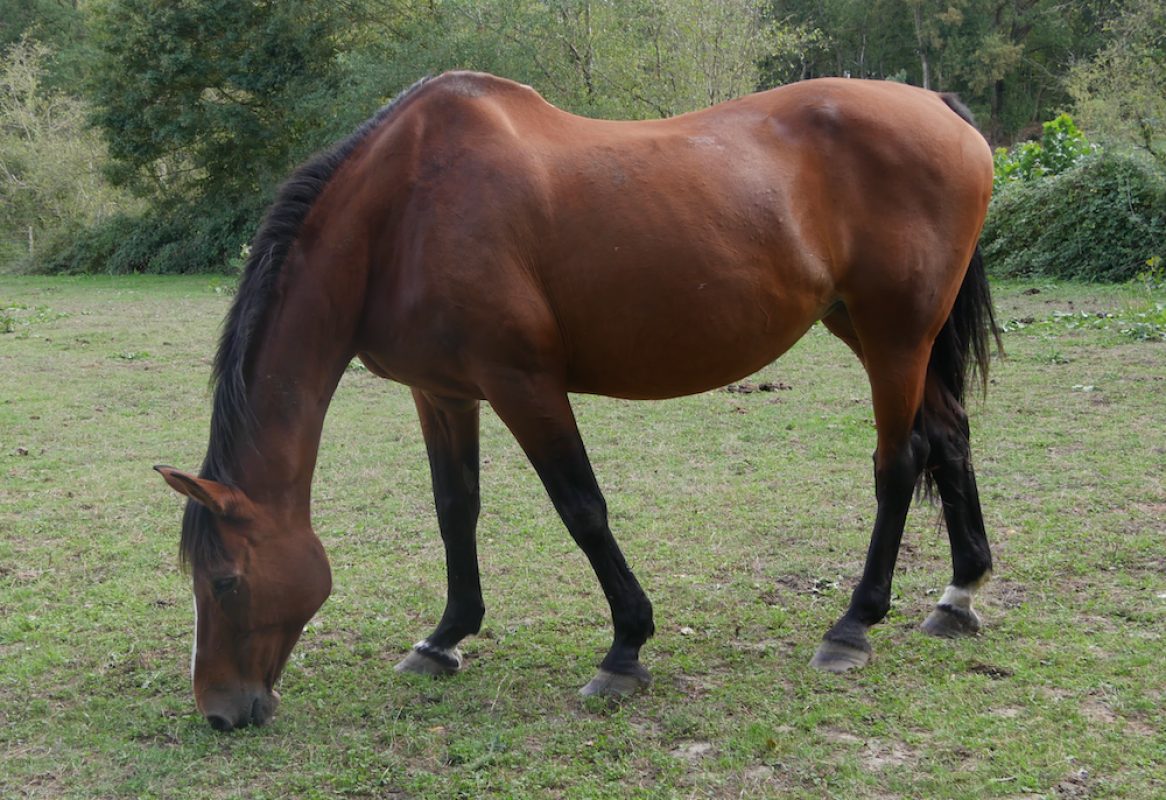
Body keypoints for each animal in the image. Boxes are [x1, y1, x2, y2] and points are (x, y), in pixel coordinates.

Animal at [157, 71, 1000, 732]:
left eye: (225, 581)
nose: (220, 711)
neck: (402, 212)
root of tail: (938, 106)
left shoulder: (523, 383)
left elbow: (581, 508)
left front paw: (624, 649)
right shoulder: (444, 392)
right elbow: (455, 508)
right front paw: (445, 636)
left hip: (895, 337)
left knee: (899, 462)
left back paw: (854, 624)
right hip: (874, 331)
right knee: (951, 436)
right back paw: (957, 596)